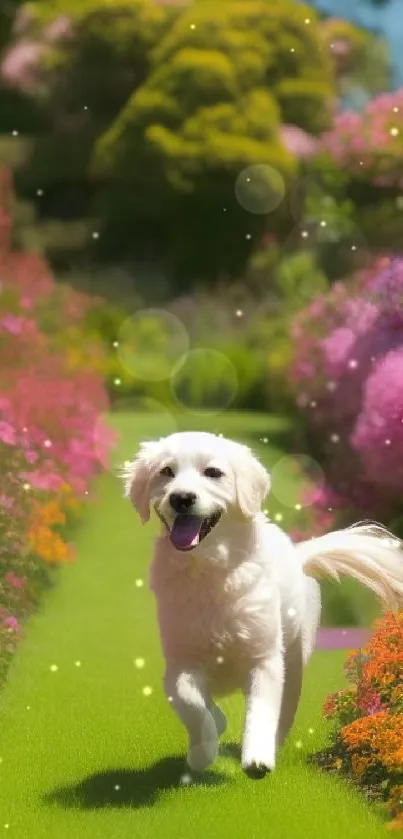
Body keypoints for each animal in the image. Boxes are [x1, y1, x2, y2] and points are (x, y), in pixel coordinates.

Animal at [122, 434, 403, 780]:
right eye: (166, 471)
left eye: (213, 472)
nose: (182, 498)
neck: (211, 569)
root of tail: (298, 554)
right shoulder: (180, 663)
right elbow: (193, 706)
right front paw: (203, 751)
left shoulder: (264, 659)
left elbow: (262, 710)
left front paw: (256, 757)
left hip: (294, 656)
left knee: (287, 704)